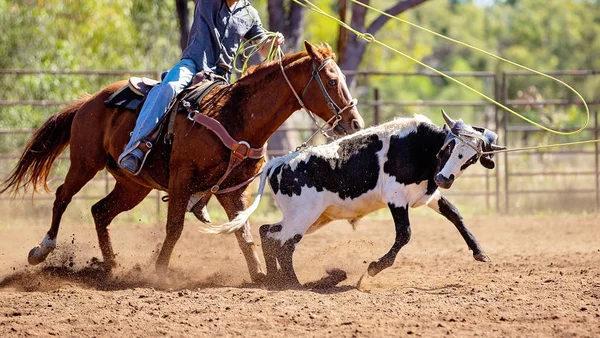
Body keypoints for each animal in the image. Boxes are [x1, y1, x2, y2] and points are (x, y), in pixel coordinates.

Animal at [0, 41, 364, 282]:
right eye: (332, 80)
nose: (355, 122)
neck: (234, 116)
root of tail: (89, 101)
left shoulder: (233, 189)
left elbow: (241, 231)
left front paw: (260, 275)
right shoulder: (181, 178)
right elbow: (174, 227)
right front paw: (160, 273)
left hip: (133, 186)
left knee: (100, 211)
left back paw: (112, 266)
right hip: (84, 163)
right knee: (63, 196)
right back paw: (43, 249)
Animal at [204, 111, 504, 286]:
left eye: (472, 157)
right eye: (450, 146)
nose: (445, 178)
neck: (420, 148)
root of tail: (278, 163)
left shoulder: (429, 195)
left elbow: (455, 215)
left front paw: (480, 252)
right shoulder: (396, 198)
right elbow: (404, 234)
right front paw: (373, 268)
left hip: (309, 217)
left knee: (268, 233)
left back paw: (274, 280)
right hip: (303, 216)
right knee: (284, 244)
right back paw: (293, 284)